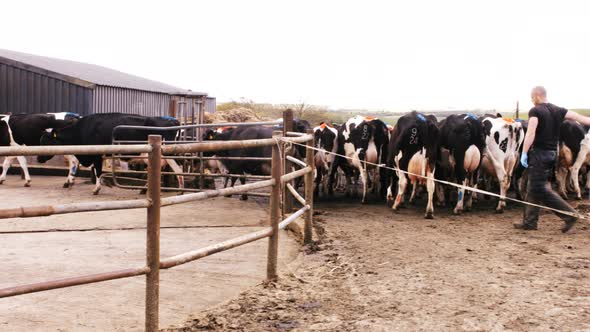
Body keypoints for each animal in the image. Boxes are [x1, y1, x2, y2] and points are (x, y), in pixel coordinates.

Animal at [41, 113, 180, 195]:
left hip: (167, 154)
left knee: (178, 169)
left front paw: (96, 189)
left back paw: (179, 190)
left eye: (45, 141)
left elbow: (97, 171)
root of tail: (173, 121)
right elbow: (96, 170)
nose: (39, 159)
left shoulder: (96, 155)